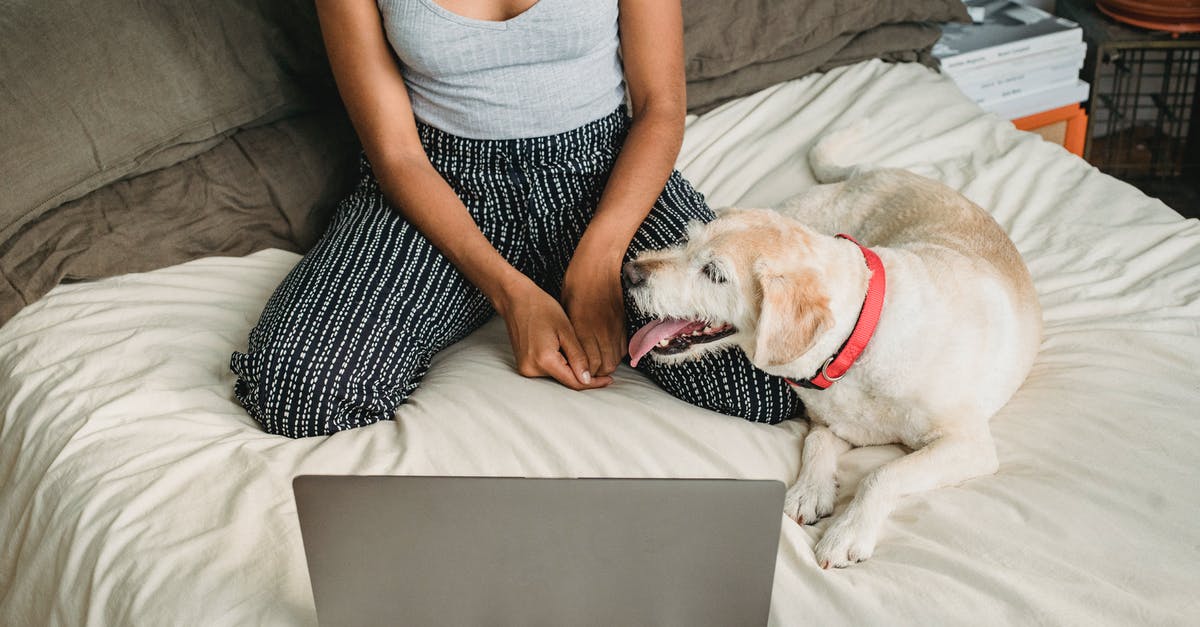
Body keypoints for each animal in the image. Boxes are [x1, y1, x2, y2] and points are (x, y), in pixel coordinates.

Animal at [624, 126, 1036, 566]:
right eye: (686, 241)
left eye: (714, 273)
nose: (629, 272)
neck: (859, 340)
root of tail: (874, 170)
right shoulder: (830, 424)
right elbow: (817, 442)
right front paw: (810, 491)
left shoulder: (969, 443)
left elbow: (883, 473)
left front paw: (848, 531)